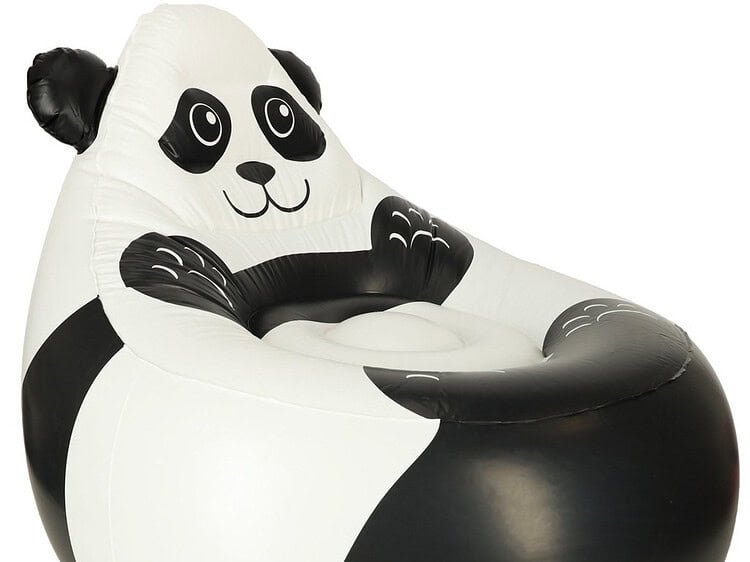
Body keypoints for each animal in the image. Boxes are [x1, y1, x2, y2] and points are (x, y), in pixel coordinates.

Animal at [23, 6, 737, 562]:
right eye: (205, 125)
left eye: (281, 118)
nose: (258, 171)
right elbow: (160, 269)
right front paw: (179, 265)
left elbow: (423, 245)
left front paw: (413, 238)